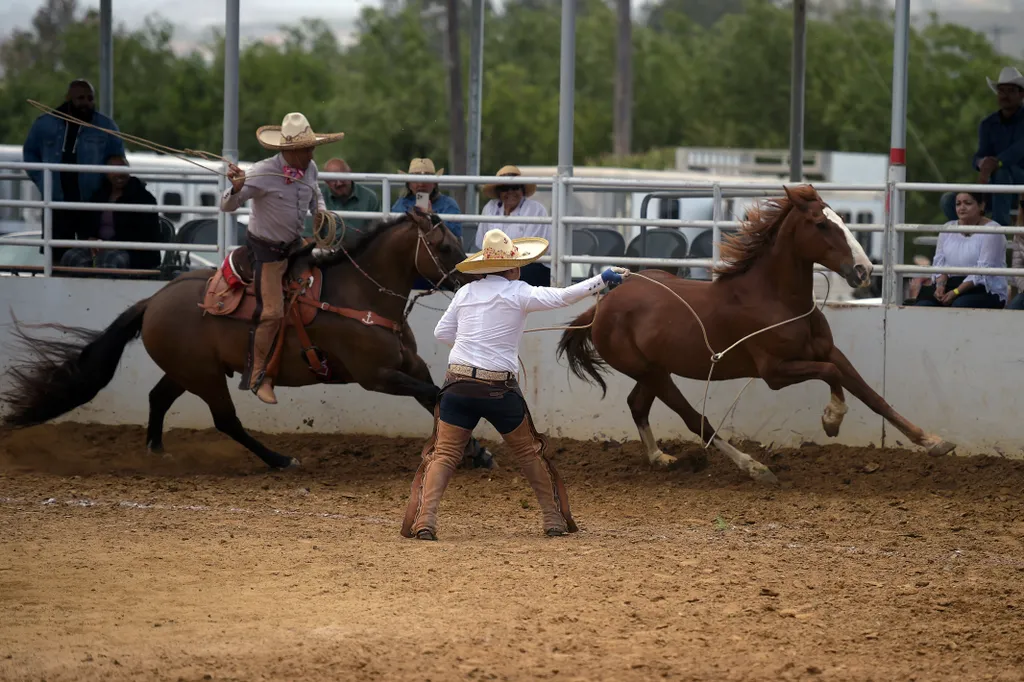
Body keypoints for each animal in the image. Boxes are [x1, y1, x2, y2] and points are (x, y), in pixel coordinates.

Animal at [1, 209, 495, 471]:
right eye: (445, 246)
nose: (474, 276)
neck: (360, 296)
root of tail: (154, 299)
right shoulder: (377, 376)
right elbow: (434, 395)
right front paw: (473, 451)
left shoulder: (409, 366)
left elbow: (434, 396)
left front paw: (475, 451)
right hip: (206, 378)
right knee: (226, 421)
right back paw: (278, 460)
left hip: (189, 371)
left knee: (158, 398)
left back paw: (157, 451)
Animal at [557, 183, 954, 481]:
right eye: (821, 225)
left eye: (841, 219)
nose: (863, 270)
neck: (775, 299)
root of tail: (602, 306)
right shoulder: (774, 371)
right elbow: (831, 376)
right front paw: (831, 420)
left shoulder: (828, 350)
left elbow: (870, 394)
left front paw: (933, 442)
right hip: (651, 372)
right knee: (695, 418)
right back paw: (754, 467)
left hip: (655, 370)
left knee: (638, 404)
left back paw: (660, 457)